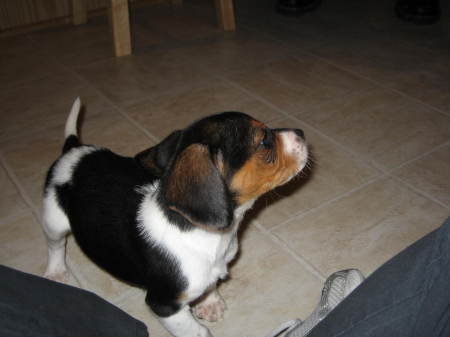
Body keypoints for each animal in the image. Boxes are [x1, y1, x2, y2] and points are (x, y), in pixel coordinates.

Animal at [42, 98, 308, 336]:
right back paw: (56, 271)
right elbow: (196, 331)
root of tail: (74, 150)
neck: (207, 234)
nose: (301, 131)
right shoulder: (165, 305)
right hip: (54, 220)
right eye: (264, 141)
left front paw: (209, 303)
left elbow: (209, 285)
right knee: (55, 245)